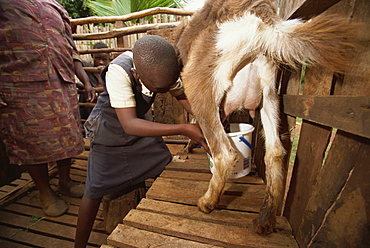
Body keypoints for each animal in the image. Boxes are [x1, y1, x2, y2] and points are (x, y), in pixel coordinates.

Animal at [175, 0, 360, 234]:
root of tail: (259, 10)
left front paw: (189, 146)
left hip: (199, 82)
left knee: (225, 154)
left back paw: (208, 202)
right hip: (269, 93)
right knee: (276, 152)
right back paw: (266, 219)